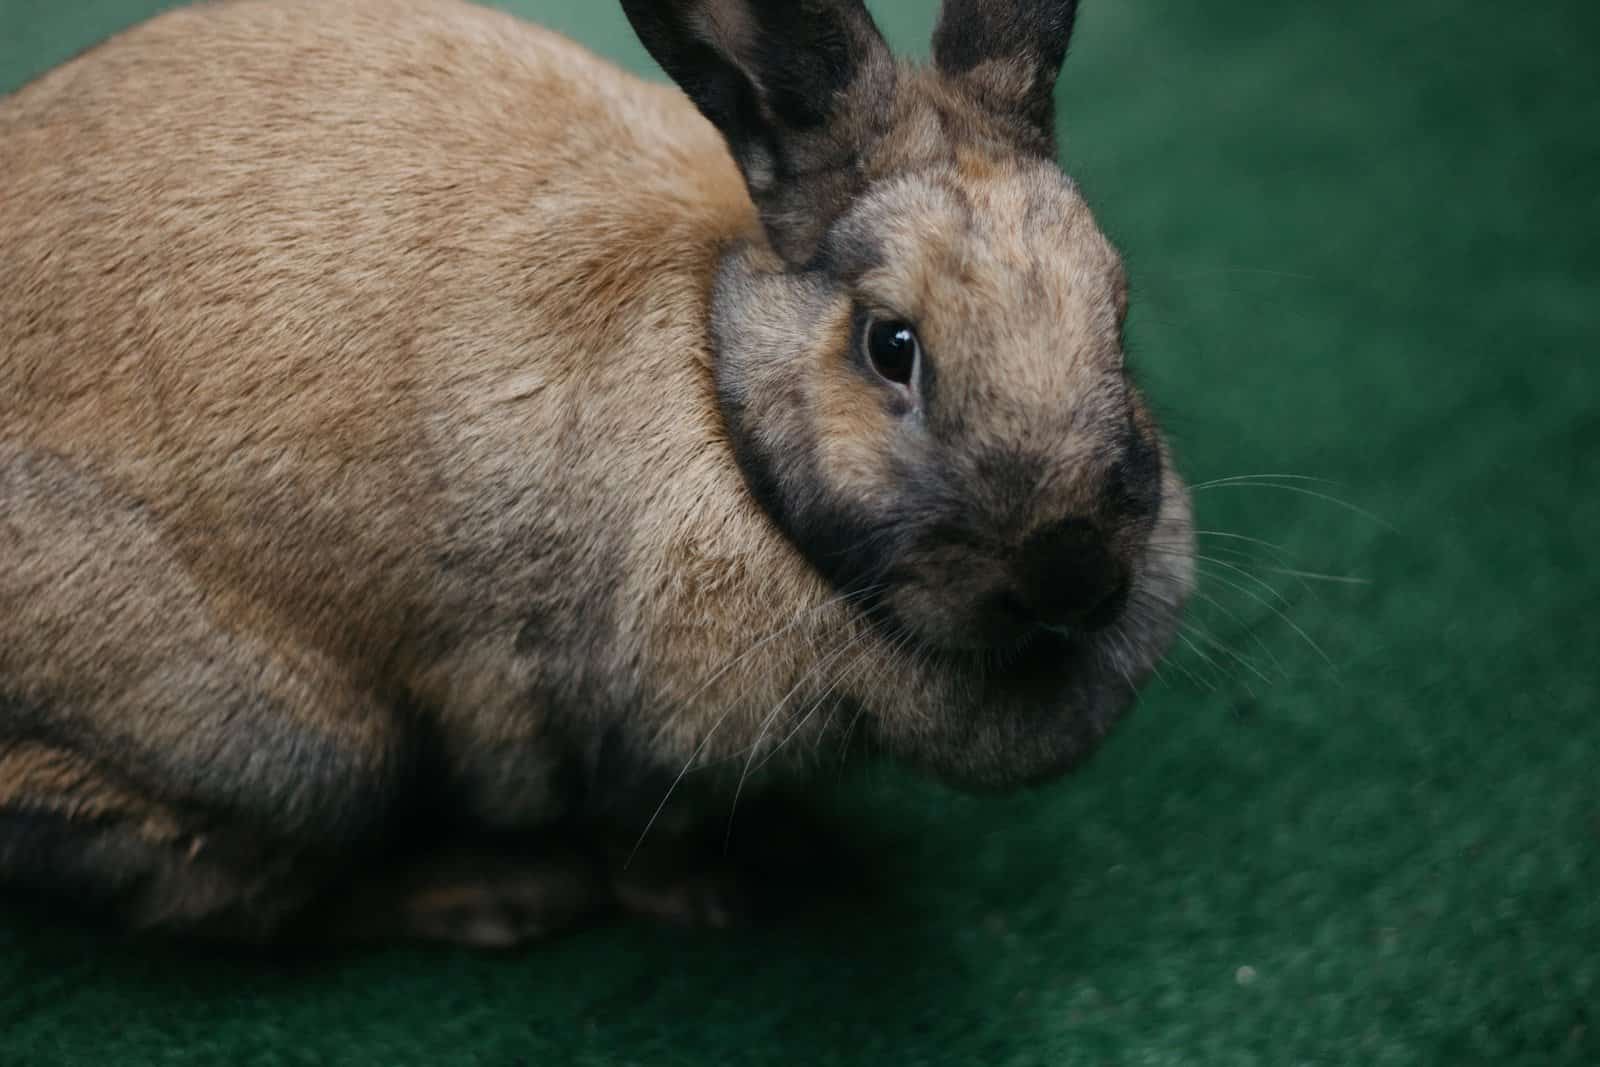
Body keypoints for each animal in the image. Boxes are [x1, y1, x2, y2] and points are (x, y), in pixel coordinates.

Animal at [0, 0, 1195, 947]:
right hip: (305, 749)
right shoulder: (600, 719)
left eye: (1118, 311)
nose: (1071, 571)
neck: (717, 394)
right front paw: (711, 901)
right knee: (227, 891)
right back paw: (500, 898)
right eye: (890, 345)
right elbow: (642, 842)